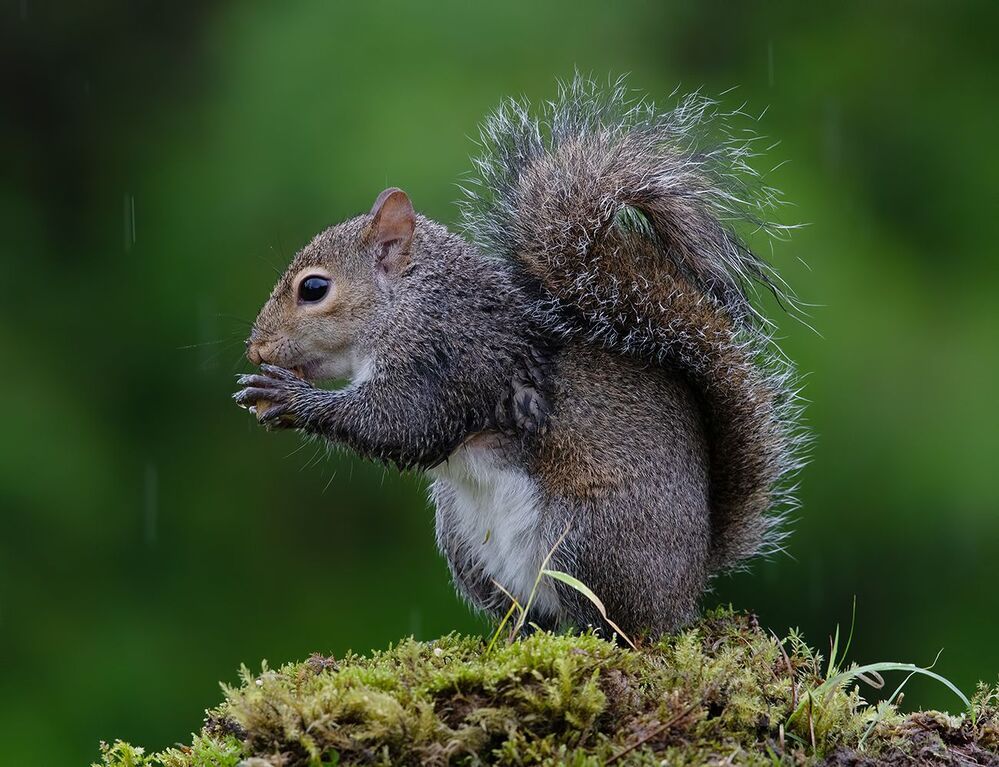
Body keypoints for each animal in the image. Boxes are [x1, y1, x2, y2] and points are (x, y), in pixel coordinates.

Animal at [234, 76, 803, 638]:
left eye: (313, 289)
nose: (256, 347)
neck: (411, 301)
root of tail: (690, 584)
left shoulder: (449, 358)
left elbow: (402, 424)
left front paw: (288, 396)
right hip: (464, 542)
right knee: (528, 612)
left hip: (586, 539)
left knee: (615, 625)